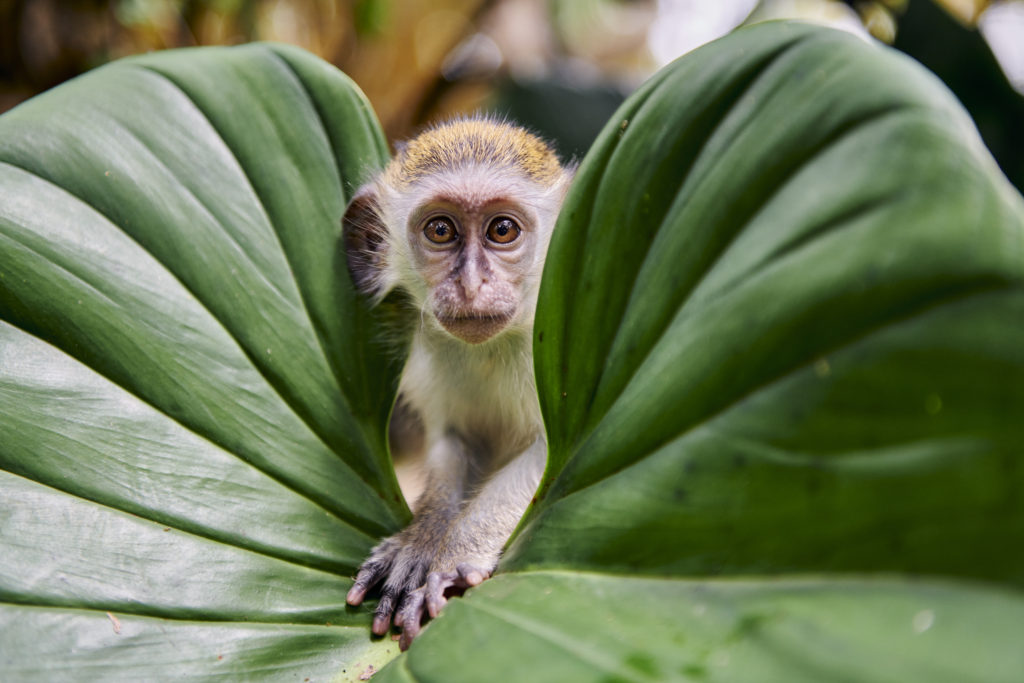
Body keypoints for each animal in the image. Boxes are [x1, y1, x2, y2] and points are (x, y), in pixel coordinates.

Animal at [342, 117, 569, 651]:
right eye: (441, 230)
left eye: (502, 230)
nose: (470, 285)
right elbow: (454, 442)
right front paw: (421, 540)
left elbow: (551, 453)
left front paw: (453, 555)